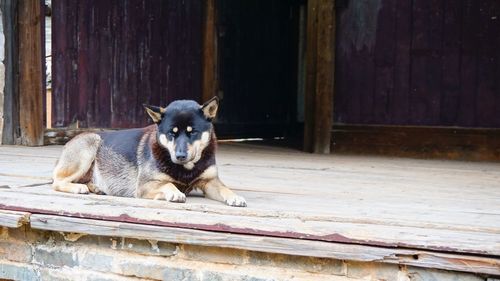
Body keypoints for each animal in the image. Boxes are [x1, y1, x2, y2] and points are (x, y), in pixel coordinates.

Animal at [51, 97, 247, 207]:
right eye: (171, 133)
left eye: (193, 132)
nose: (180, 156)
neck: (186, 168)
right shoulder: (145, 186)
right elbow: (168, 185)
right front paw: (175, 192)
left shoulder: (210, 182)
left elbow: (224, 189)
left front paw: (235, 196)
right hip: (89, 145)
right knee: (57, 182)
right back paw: (77, 187)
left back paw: (96, 188)